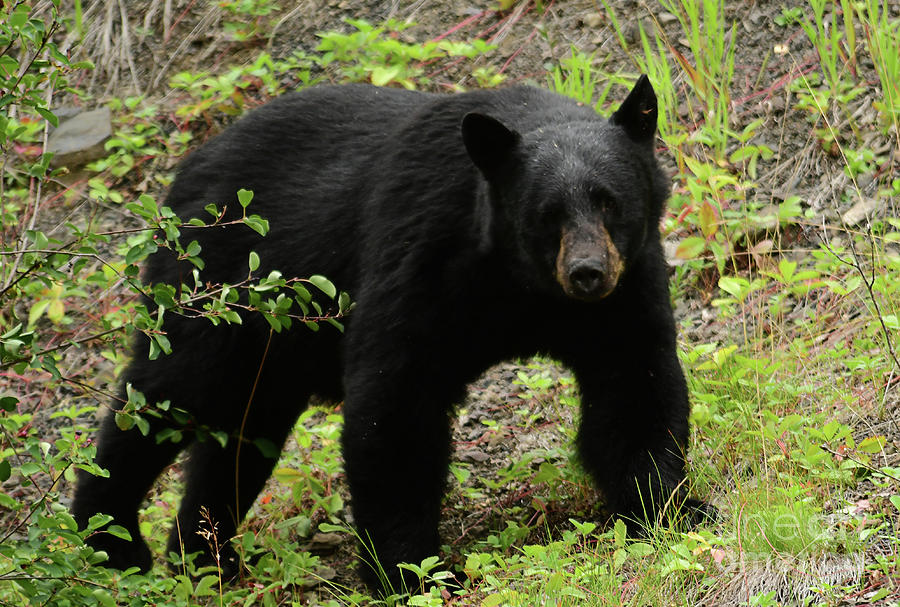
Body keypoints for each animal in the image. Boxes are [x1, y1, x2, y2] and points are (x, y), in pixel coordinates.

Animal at [74, 77, 712, 592]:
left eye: (611, 203)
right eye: (548, 213)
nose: (587, 273)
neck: (520, 284)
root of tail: (183, 171)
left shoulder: (627, 288)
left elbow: (633, 386)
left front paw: (670, 512)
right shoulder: (423, 254)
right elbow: (397, 404)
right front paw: (409, 572)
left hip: (273, 348)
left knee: (242, 435)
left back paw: (208, 560)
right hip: (214, 286)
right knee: (163, 398)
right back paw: (111, 543)